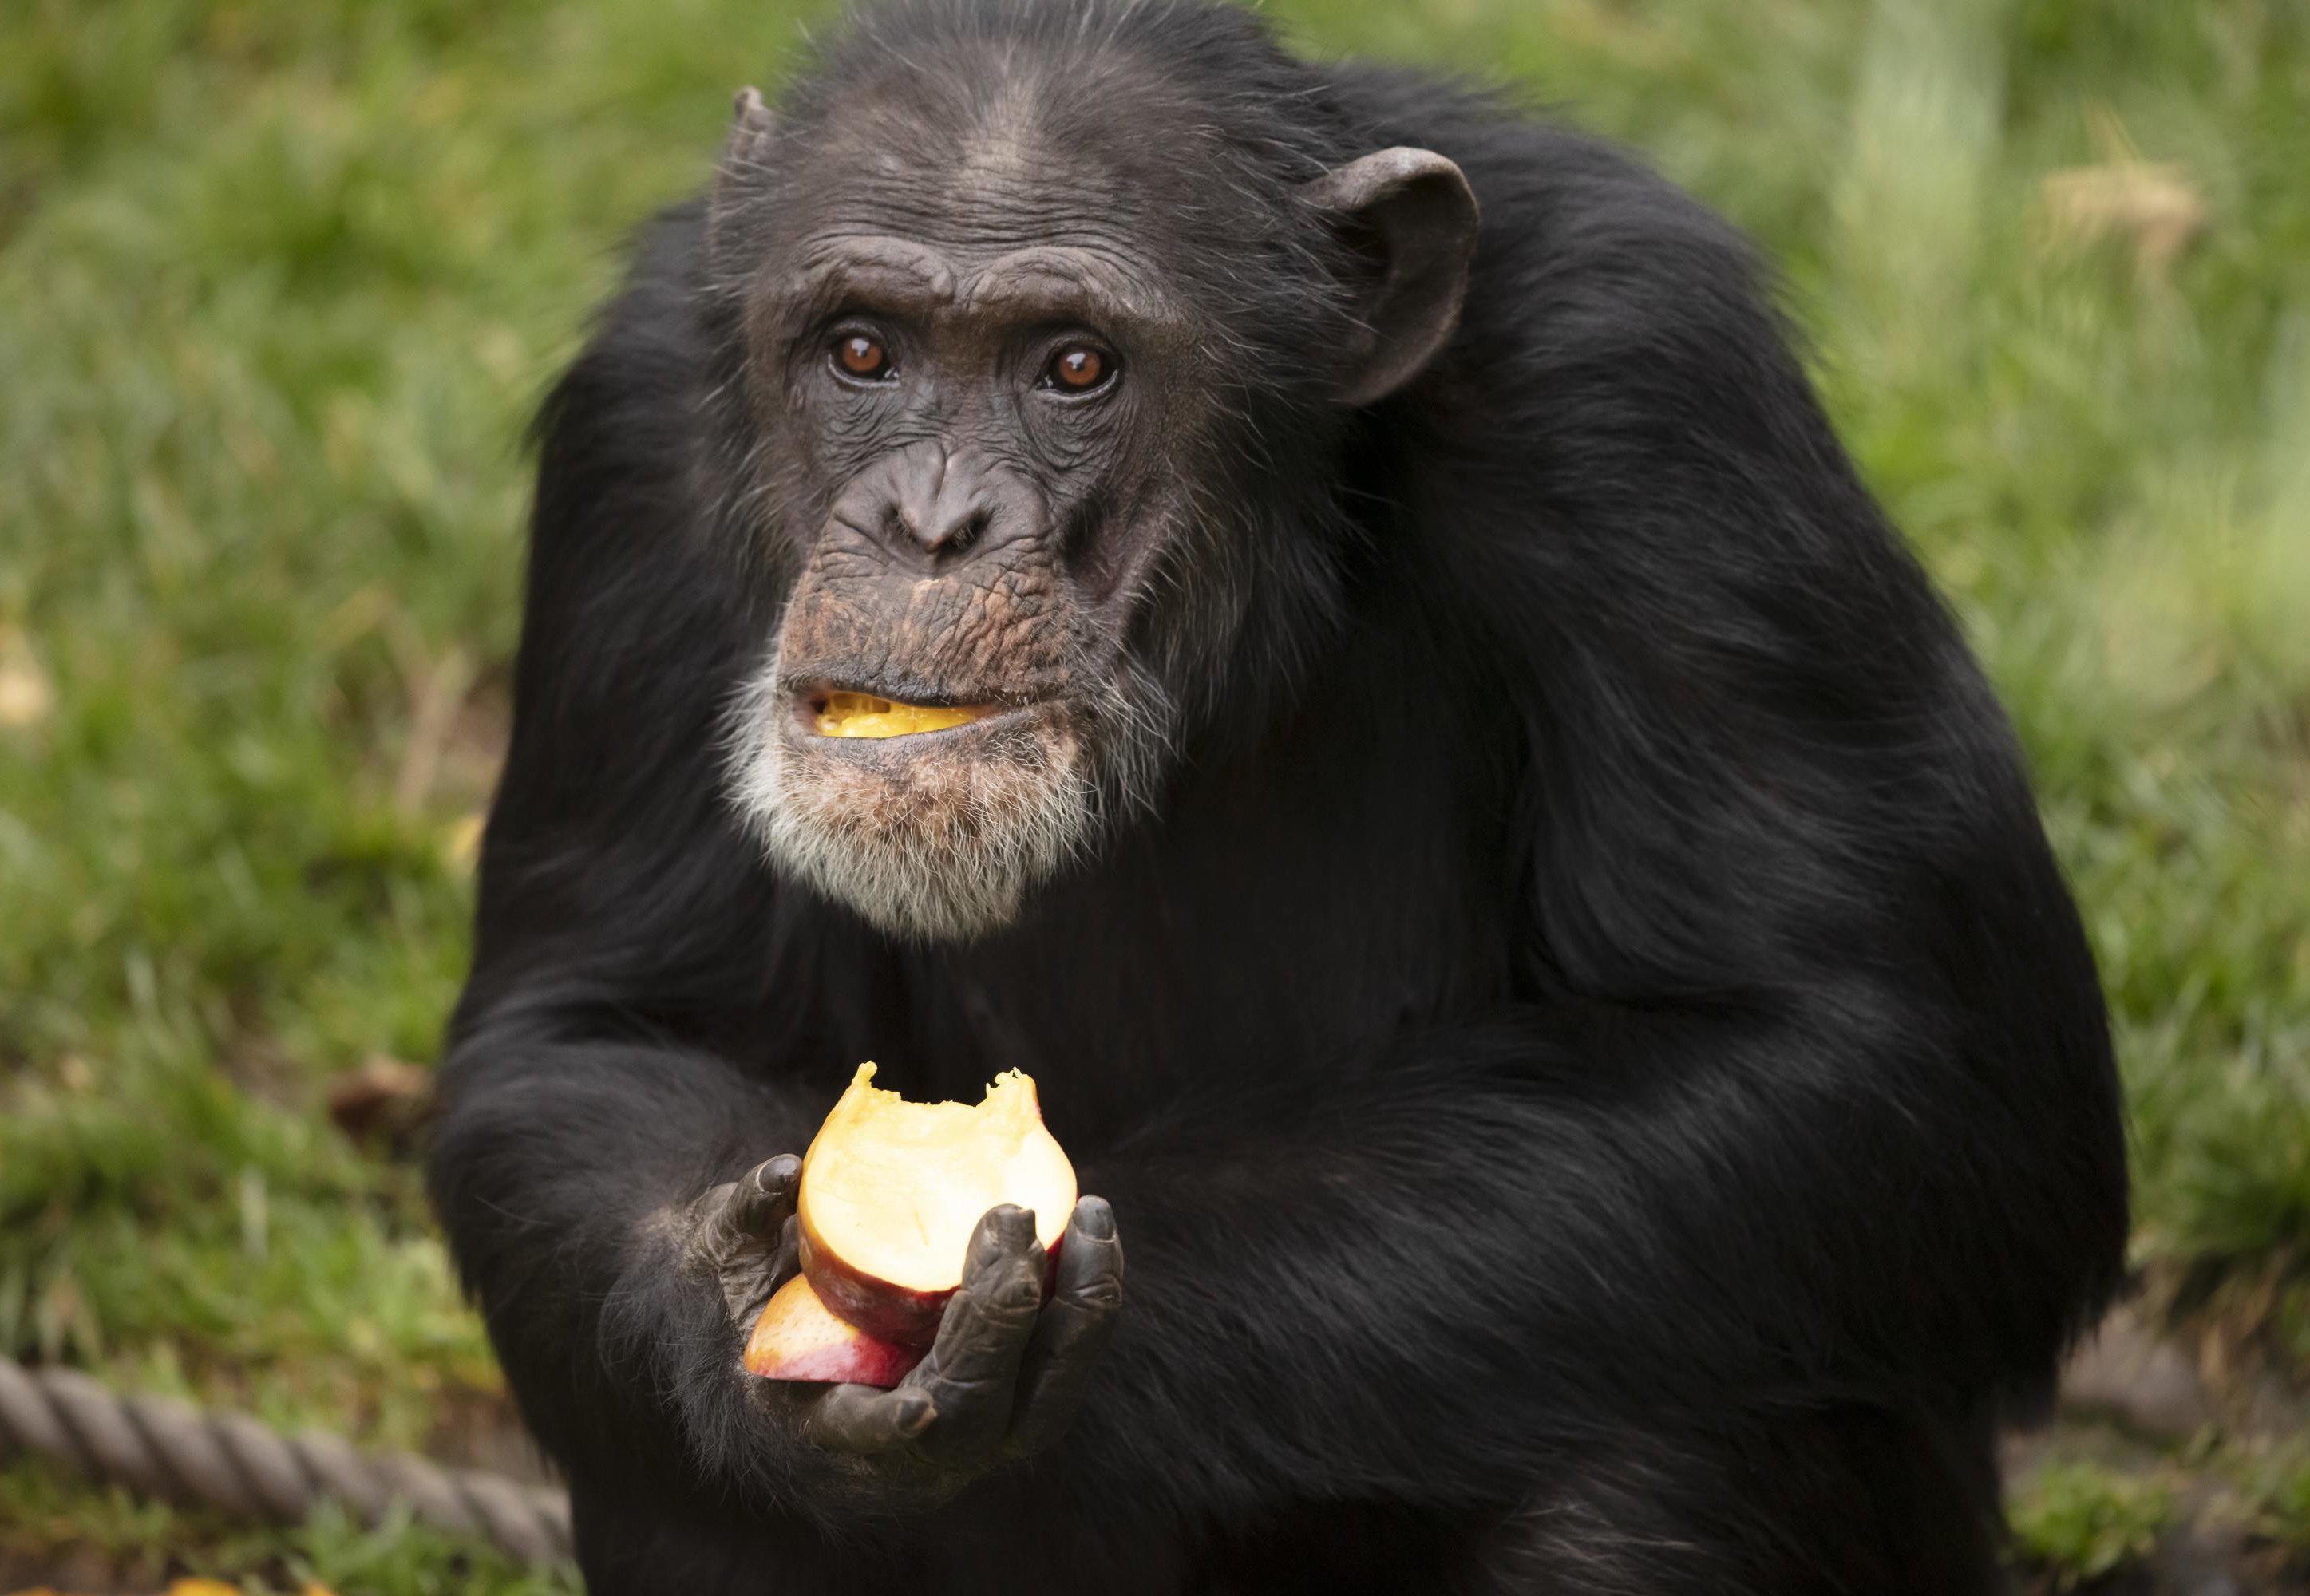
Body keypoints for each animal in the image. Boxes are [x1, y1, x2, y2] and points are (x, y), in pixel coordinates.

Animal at [429, 0, 2125, 1589]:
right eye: (861, 352)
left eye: (1074, 366)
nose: (928, 523)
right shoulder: (634, 440)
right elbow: (600, 1034)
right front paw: (732, 1307)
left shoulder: (1655, 397)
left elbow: (1864, 1050)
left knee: (1665, 1453)